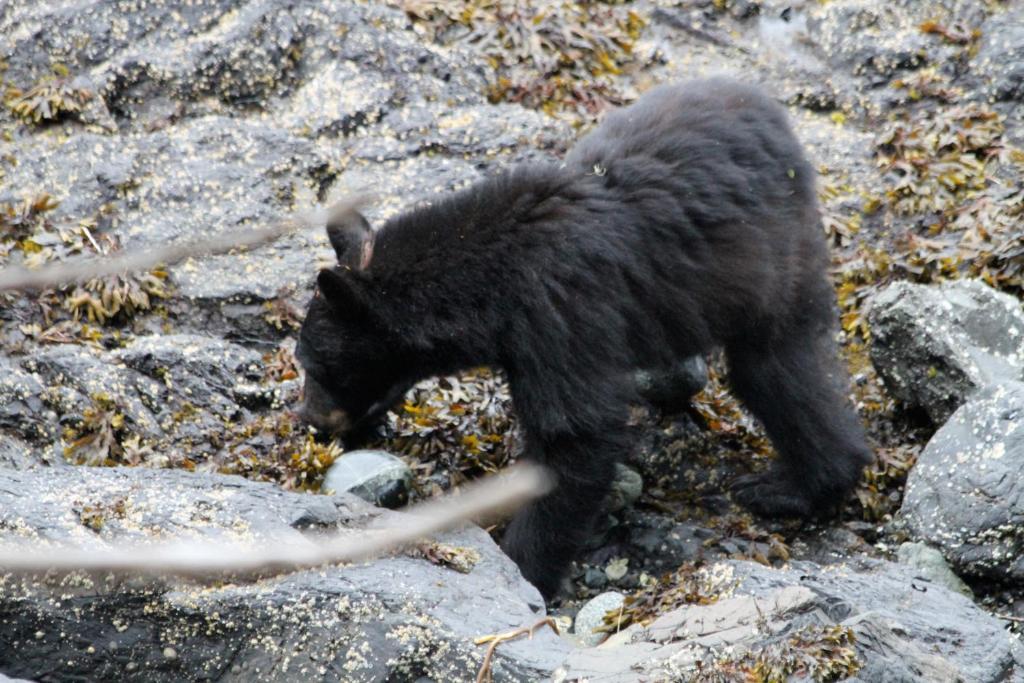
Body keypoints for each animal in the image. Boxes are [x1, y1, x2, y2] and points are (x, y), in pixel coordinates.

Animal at [294, 80, 872, 602]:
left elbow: (576, 435)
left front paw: (522, 566)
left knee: (776, 369)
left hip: (775, 260)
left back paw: (795, 488)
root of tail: (774, 115)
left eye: (314, 364)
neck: (489, 272)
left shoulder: (560, 314)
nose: (310, 421)